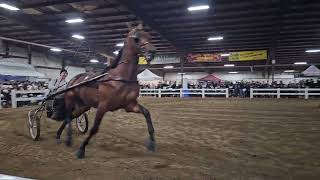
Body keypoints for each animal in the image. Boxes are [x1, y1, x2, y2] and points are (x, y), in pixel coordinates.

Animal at [57, 23, 158, 159]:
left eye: (149, 36)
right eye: (136, 38)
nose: (152, 52)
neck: (120, 78)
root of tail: (73, 80)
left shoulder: (130, 105)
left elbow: (147, 113)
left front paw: (152, 143)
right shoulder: (103, 106)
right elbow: (94, 128)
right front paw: (81, 149)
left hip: (83, 106)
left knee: (71, 116)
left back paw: (59, 135)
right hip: (69, 100)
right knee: (68, 117)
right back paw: (68, 139)